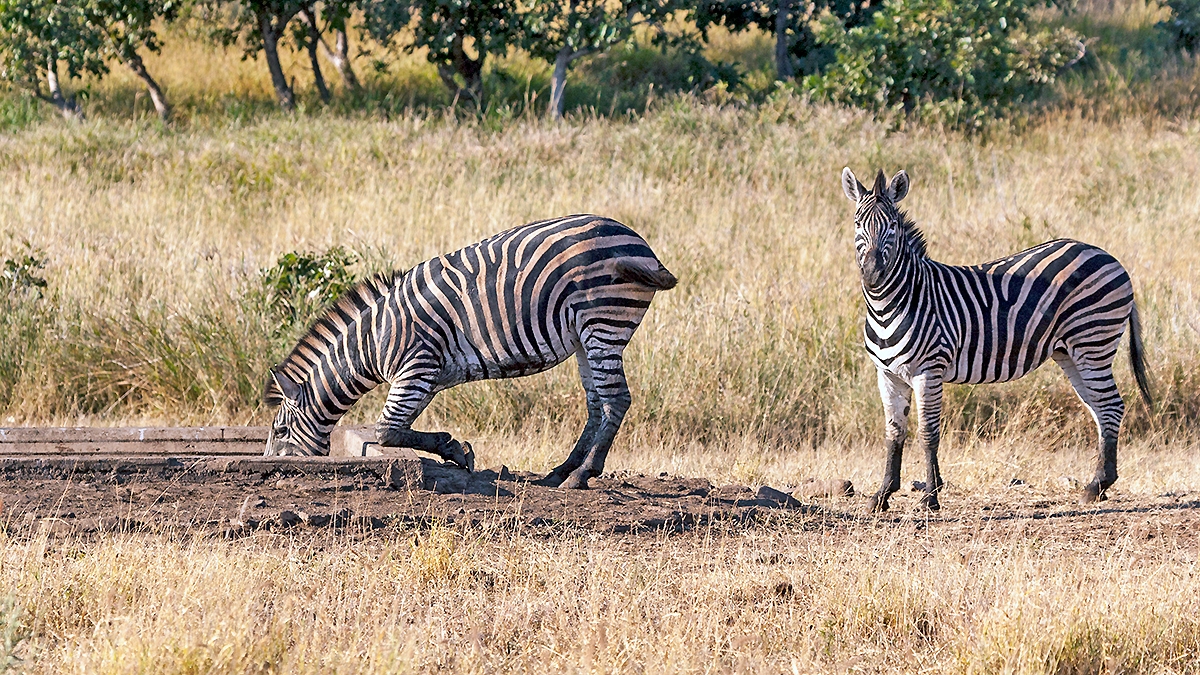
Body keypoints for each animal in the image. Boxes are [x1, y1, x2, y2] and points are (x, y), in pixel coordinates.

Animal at [262, 215, 676, 490]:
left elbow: (387, 432)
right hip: (584, 336)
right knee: (596, 404)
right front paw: (452, 449)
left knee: (616, 399)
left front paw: (455, 449)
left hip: (603, 321)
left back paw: (581, 475)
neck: (372, 343)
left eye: (280, 430)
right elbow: (402, 431)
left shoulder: (416, 367)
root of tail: (641, 243)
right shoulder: (427, 380)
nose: (267, 469)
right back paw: (560, 471)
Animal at [841, 168, 1151, 511]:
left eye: (892, 227)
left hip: (1093, 341)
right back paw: (1100, 486)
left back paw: (1097, 485)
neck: (891, 304)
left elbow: (927, 433)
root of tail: (1107, 255)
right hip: (1070, 353)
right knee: (1100, 410)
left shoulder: (929, 370)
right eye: (857, 224)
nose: (872, 274)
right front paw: (882, 494)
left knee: (1111, 407)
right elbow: (894, 434)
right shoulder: (887, 375)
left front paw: (931, 497)